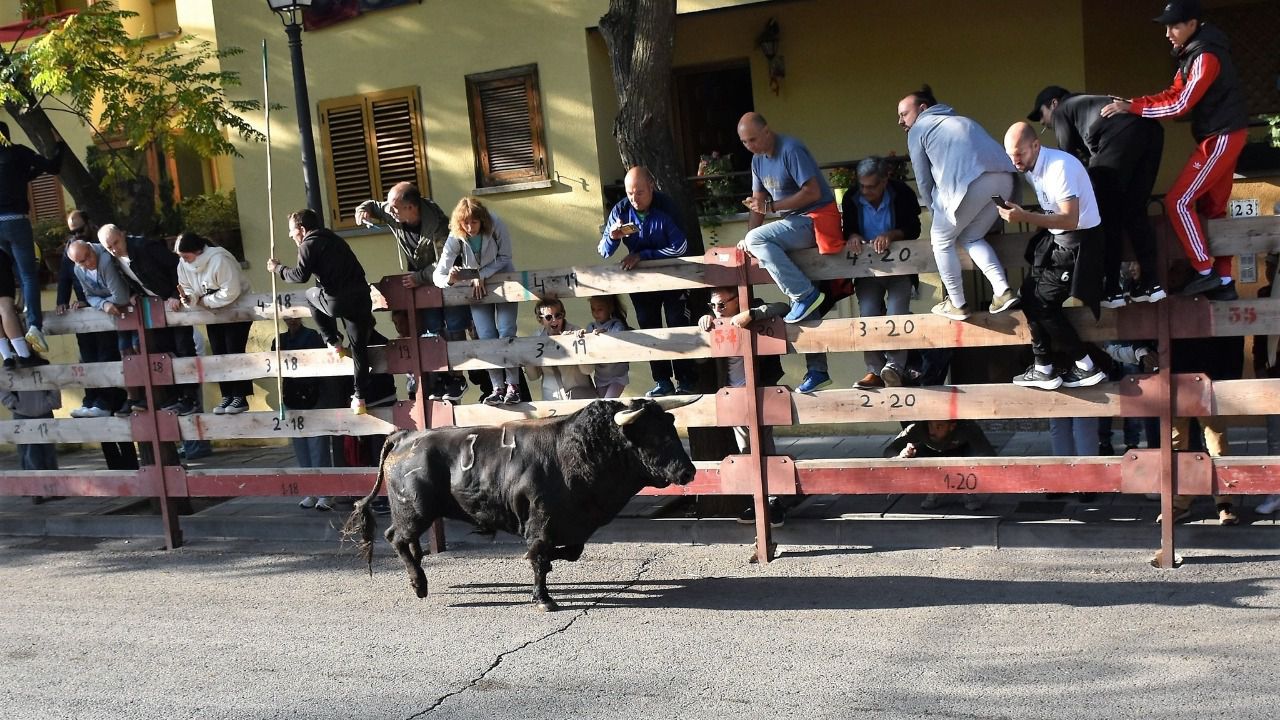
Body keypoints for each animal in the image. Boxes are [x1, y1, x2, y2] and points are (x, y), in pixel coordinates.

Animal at [342, 397, 697, 611]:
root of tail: (404, 437)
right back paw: (419, 584)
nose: (689, 471)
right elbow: (538, 555)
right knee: (397, 538)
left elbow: (567, 552)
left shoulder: (573, 525)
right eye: (654, 436)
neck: (578, 451)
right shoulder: (542, 521)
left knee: (403, 540)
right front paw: (543, 598)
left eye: (670, 428)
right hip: (414, 510)